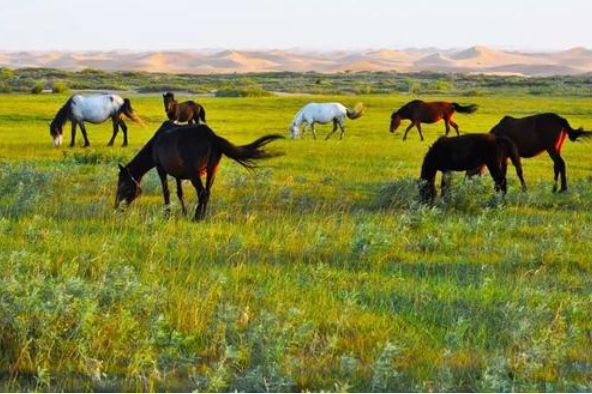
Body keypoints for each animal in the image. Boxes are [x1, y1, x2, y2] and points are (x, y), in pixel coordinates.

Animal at [115, 121, 284, 222]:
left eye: (123, 184)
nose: (117, 207)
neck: (155, 144)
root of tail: (212, 137)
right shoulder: (177, 174)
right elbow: (180, 193)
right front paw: (183, 213)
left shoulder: (161, 169)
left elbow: (166, 192)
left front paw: (167, 214)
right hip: (212, 170)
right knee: (207, 192)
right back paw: (202, 216)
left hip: (194, 173)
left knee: (202, 192)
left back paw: (196, 217)